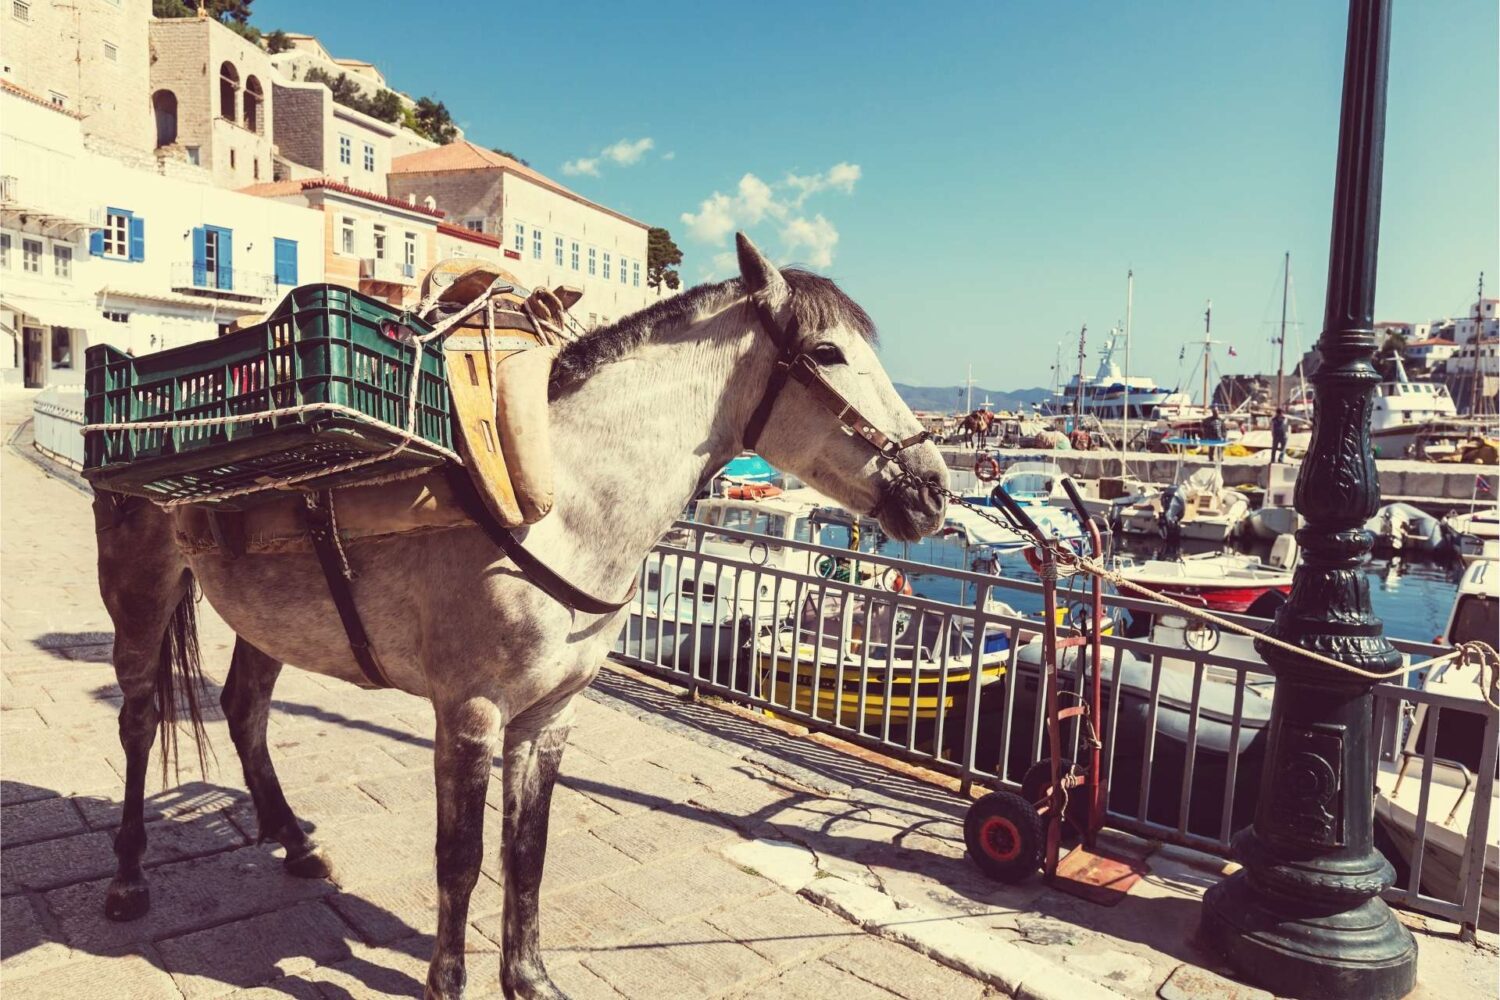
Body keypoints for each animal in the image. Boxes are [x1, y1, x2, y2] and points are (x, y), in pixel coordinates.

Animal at [91, 233, 949, 1000]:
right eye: (829, 354)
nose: (933, 486)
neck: (562, 498)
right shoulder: (469, 711)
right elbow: (461, 857)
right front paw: (447, 982)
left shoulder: (549, 713)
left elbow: (527, 850)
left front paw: (528, 977)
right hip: (140, 591)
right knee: (138, 720)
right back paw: (128, 875)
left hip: (267, 619)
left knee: (244, 710)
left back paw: (293, 839)